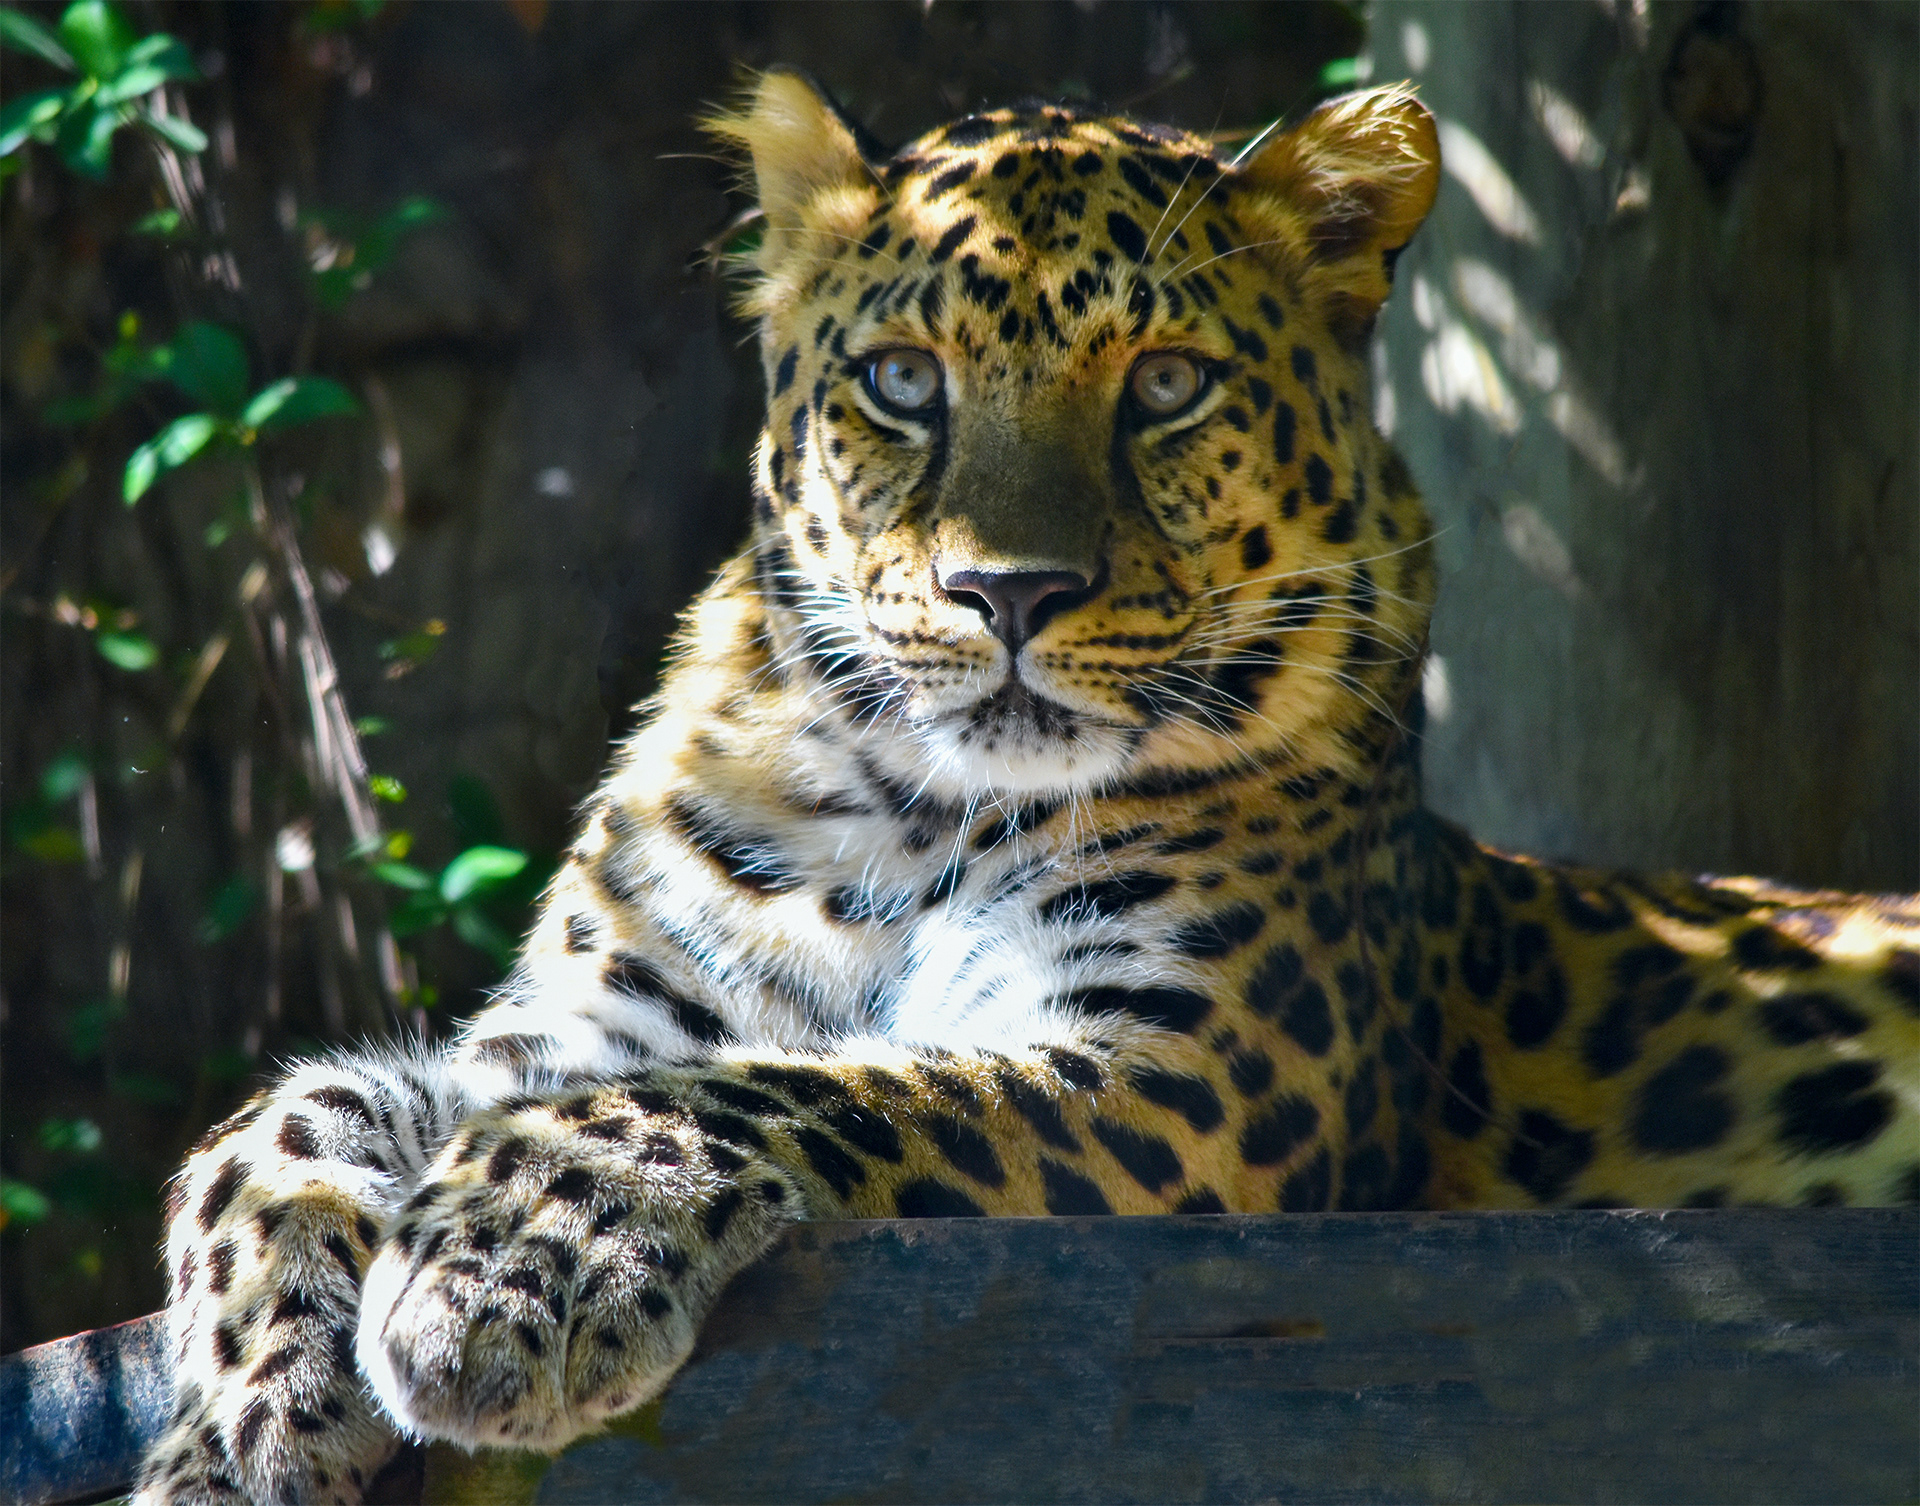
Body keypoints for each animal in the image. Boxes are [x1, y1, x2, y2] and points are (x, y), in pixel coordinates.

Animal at [135, 71, 1919, 1503]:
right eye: (905, 381)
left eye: (1169, 385)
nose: (1010, 592)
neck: (894, 817)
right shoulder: (583, 1023)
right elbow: (281, 1114)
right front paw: (232, 1424)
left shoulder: (1182, 1072)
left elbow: (827, 1083)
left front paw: (512, 1265)